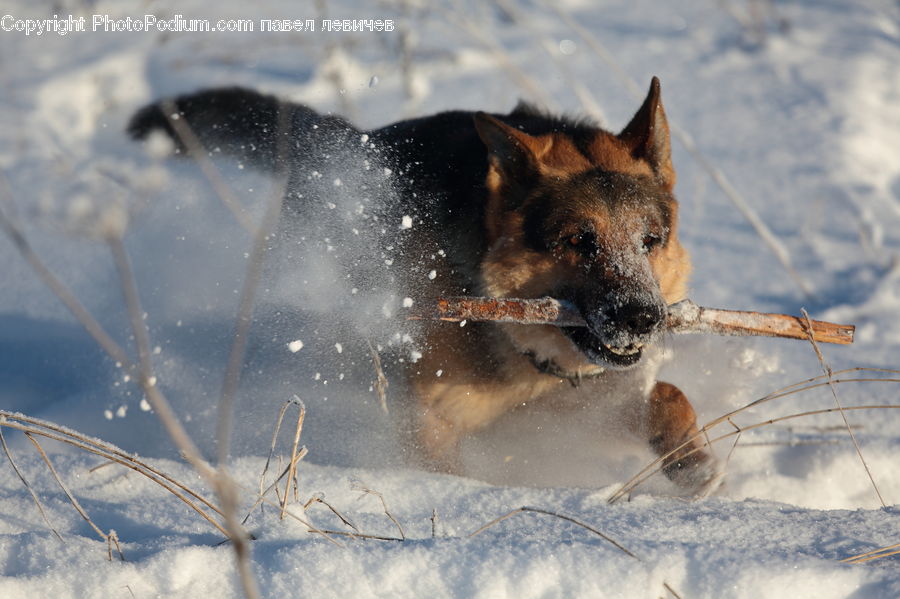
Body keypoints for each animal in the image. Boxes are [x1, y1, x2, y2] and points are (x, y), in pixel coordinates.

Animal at [132, 76, 724, 496]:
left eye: (650, 240)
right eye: (579, 240)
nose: (644, 317)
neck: (522, 353)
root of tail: (363, 140)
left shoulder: (574, 406)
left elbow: (665, 394)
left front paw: (693, 461)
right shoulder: (433, 424)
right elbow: (450, 471)